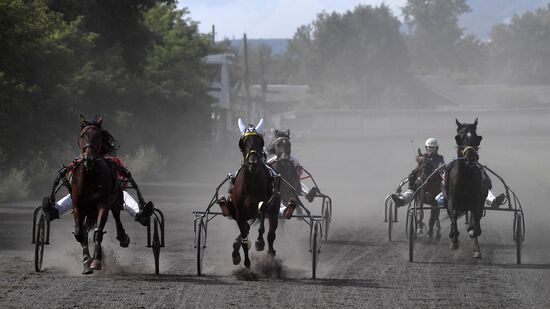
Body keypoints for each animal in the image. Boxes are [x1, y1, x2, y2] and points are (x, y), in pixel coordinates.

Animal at [72, 115, 128, 272]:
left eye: (97, 136)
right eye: (82, 136)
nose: (89, 159)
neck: (90, 176)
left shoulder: (103, 205)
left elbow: (98, 232)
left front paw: (96, 261)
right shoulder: (77, 206)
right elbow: (81, 233)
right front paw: (86, 262)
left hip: (114, 199)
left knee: (116, 214)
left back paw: (122, 237)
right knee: (85, 229)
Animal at [229, 118, 280, 268]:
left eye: (260, 141)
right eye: (242, 143)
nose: (253, 163)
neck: (250, 184)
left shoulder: (265, 203)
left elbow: (262, 210)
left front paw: (259, 242)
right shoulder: (239, 213)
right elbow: (244, 236)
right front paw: (244, 259)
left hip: (274, 211)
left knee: (271, 234)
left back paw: (270, 253)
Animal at [448, 118, 488, 258]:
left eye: (477, 138)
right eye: (459, 138)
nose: (470, 158)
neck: (465, 178)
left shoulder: (477, 202)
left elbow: (477, 229)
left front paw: (471, 230)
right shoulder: (452, 199)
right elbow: (453, 216)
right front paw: (453, 239)